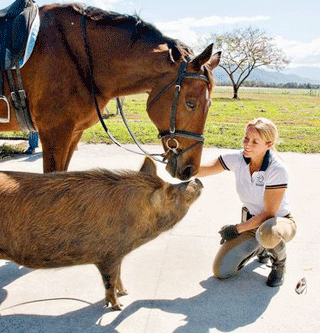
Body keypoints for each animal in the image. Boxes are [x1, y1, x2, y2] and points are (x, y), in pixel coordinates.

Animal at [0, 158, 202, 308]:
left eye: (170, 183)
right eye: (171, 196)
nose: (197, 180)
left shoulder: (118, 255)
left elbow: (119, 275)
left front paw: (126, 292)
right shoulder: (108, 255)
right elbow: (110, 280)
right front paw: (118, 306)